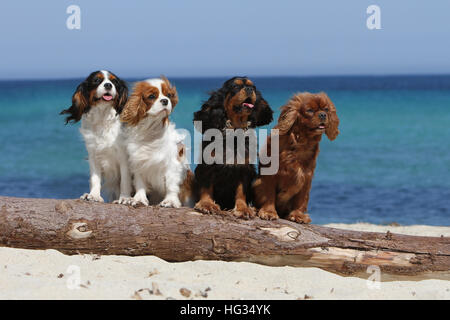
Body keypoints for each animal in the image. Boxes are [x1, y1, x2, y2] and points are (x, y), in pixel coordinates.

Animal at [59, 71, 131, 204]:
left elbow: (125, 180)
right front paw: (94, 195)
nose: (108, 85)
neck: (103, 116)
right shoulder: (94, 154)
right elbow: (95, 178)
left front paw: (124, 198)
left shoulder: (124, 157)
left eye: (115, 82)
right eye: (96, 80)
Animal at [121, 77, 193, 208]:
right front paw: (139, 199)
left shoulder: (172, 163)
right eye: (151, 96)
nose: (165, 101)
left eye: (168, 95)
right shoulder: (138, 161)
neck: (152, 131)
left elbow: (171, 184)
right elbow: (140, 183)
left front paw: (170, 201)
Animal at [192, 76, 272, 219]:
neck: (234, 130)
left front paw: (243, 208)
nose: (249, 89)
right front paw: (207, 204)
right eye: (235, 87)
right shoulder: (207, 166)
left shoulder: (244, 169)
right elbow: (206, 186)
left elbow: (241, 190)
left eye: (253, 87)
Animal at [253, 91, 338, 224]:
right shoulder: (269, 175)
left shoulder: (305, 176)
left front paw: (298, 215)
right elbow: (269, 193)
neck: (302, 142)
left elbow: (301, 199)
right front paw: (268, 212)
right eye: (309, 110)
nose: (323, 115)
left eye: (326, 109)